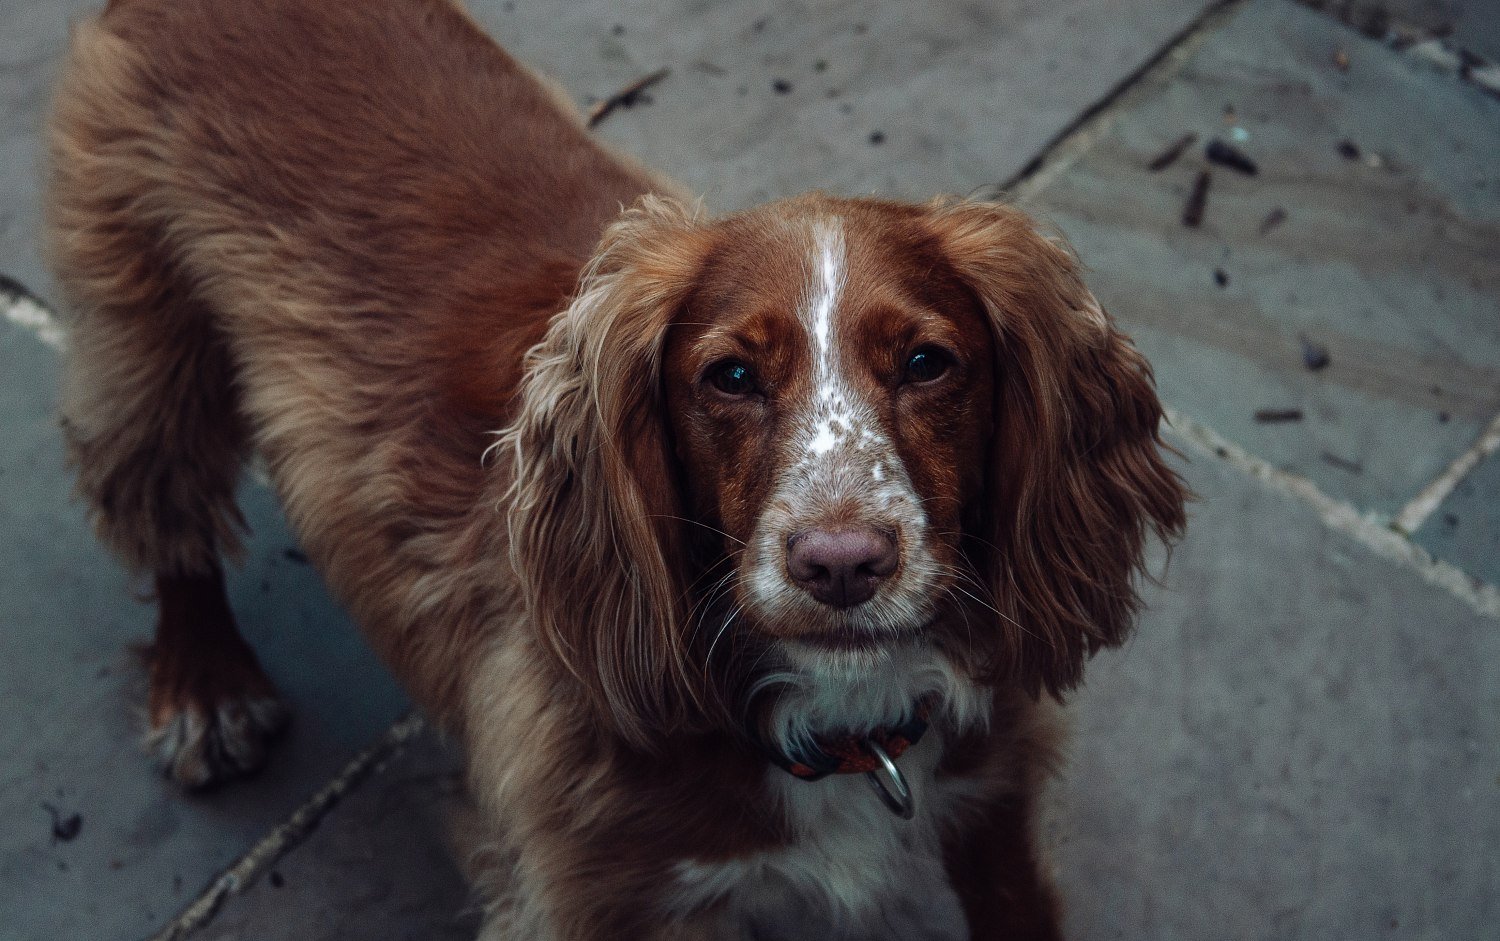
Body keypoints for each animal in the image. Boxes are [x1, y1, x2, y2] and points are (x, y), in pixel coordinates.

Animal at [46, 0, 1188, 936]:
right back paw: (205, 685)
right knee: (158, 497)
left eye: (925, 362)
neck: (835, 715)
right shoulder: (598, 890)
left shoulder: (997, 794)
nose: (841, 563)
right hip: (145, 325)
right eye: (730, 375)